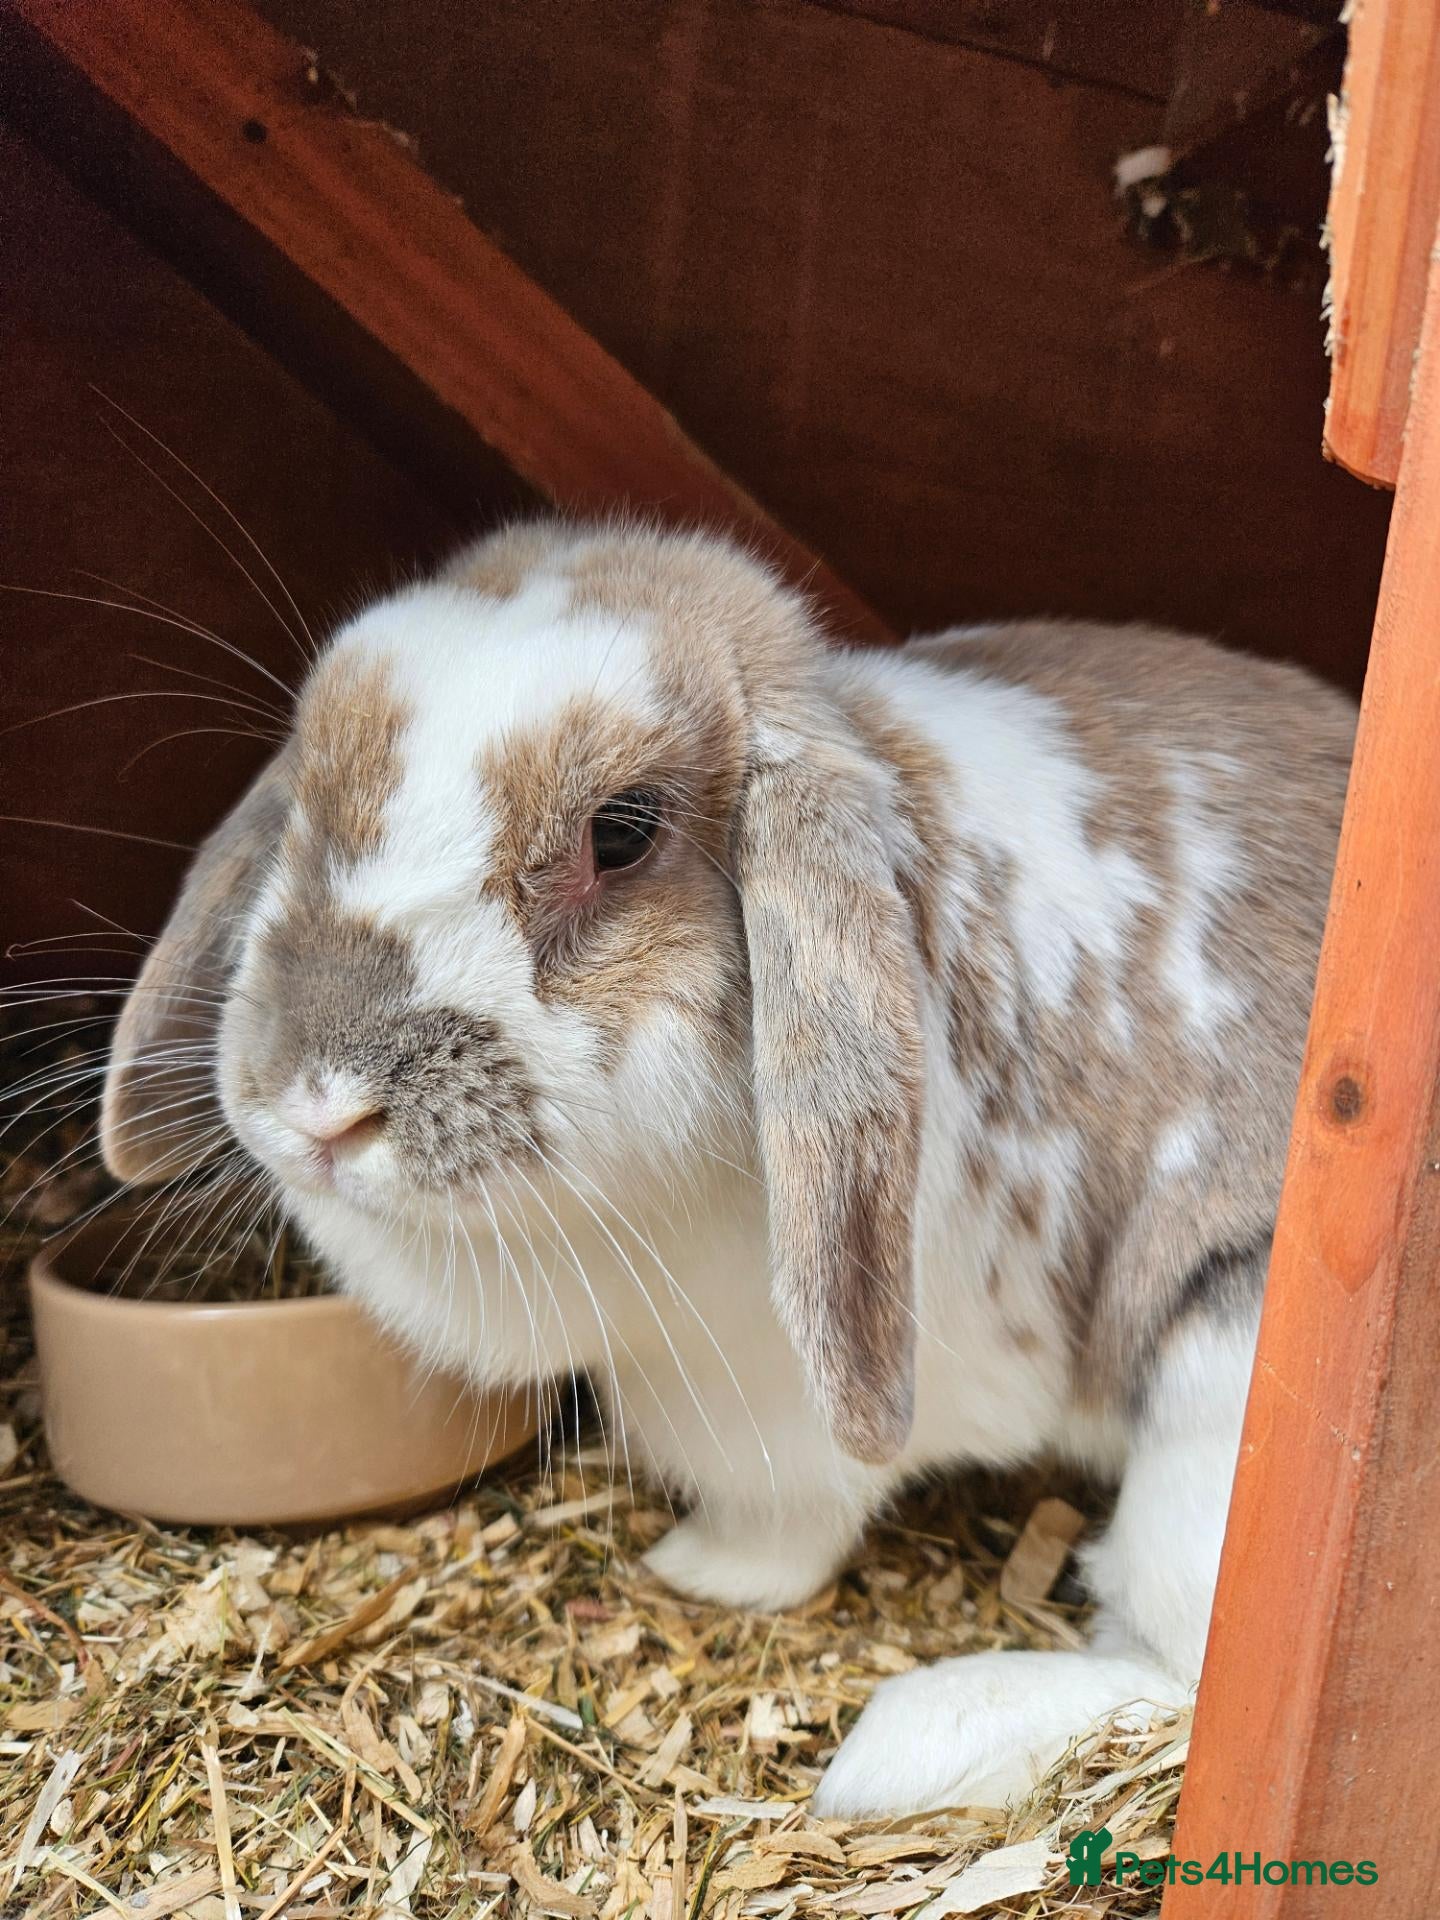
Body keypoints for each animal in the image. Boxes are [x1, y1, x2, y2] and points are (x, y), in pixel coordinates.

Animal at [101, 519, 1355, 1815]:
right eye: (309, 787)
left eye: (622, 832)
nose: (321, 1106)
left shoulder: (785, 1419)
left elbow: (790, 1528)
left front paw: (699, 1570)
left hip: (1219, 1396)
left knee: (1180, 1676)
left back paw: (903, 1744)